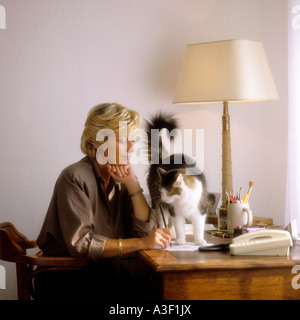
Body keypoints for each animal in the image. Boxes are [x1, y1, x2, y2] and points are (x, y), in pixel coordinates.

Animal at [145, 114, 210, 245]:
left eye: (169, 192)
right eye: (161, 192)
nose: (163, 199)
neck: (183, 201)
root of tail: (163, 158)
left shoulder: (200, 212)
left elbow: (198, 229)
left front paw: (199, 241)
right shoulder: (175, 213)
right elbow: (180, 228)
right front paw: (180, 241)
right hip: (159, 206)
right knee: (163, 223)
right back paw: (166, 235)